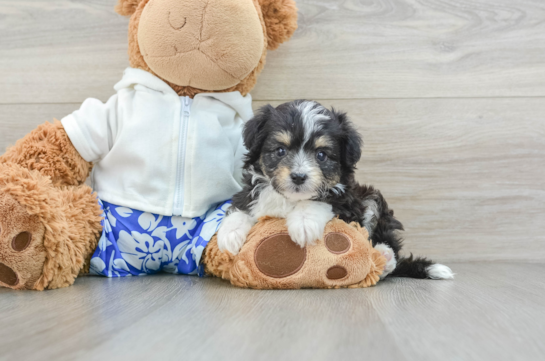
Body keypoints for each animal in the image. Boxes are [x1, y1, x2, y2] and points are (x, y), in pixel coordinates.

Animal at [219, 100, 452, 280]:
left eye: (321, 155)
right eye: (280, 150)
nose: (299, 176)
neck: (291, 199)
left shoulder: (346, 200)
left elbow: (321, 200)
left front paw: (303, 223)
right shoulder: (251, 191)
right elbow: (241, 207)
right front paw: (229, 236)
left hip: (372, 199)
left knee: (387, 244)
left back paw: (384, 257)